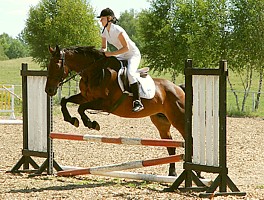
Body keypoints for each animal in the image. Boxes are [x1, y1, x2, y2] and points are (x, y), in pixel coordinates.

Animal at [45, 45, 186, 177]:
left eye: (56, 65)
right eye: (48, 66)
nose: (49, 90)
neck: (94, 73)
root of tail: (178, 88)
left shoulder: (106, 104)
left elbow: (81, 108)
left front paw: (91, 123)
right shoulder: (85, 97)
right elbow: (65, 101)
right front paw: (72, 120)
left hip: (179, 120)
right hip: (161, 122)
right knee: (171, 146)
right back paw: (172, 173)